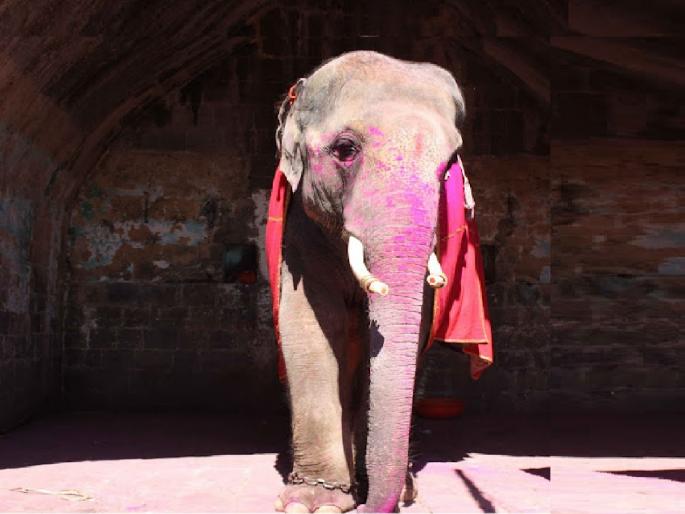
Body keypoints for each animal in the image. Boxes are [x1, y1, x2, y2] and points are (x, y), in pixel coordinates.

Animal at [266, 51, 492, 513]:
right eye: (345, 149)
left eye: (449, 166)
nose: (377, 504)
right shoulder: (301, 236)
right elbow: (310, 327)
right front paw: (314, 502)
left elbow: (413, 334)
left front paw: (396, 490)